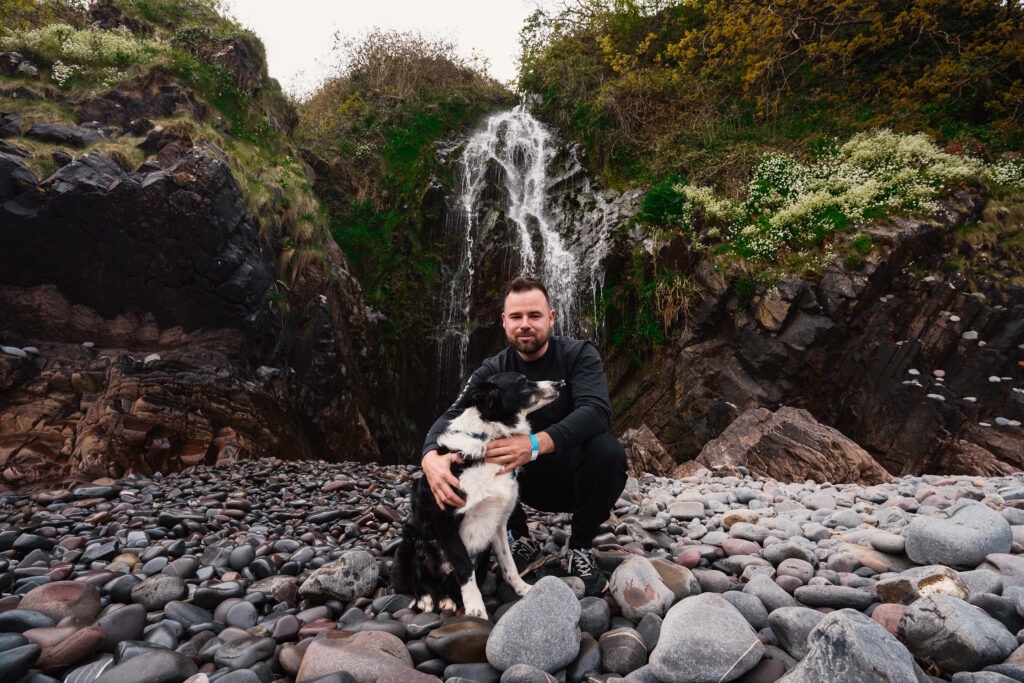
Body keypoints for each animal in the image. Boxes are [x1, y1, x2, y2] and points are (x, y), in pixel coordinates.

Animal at [393, 374, 561, 618]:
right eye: (522, 381)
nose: (557, 384)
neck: (489, 439)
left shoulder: (499, 522)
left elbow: (508, 562)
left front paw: (523, 588)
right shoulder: (444, 521)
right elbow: (464, 567)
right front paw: (476, 609)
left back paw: (447, 599)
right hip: (413, 538)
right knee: (423, 578)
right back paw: (426, 598)